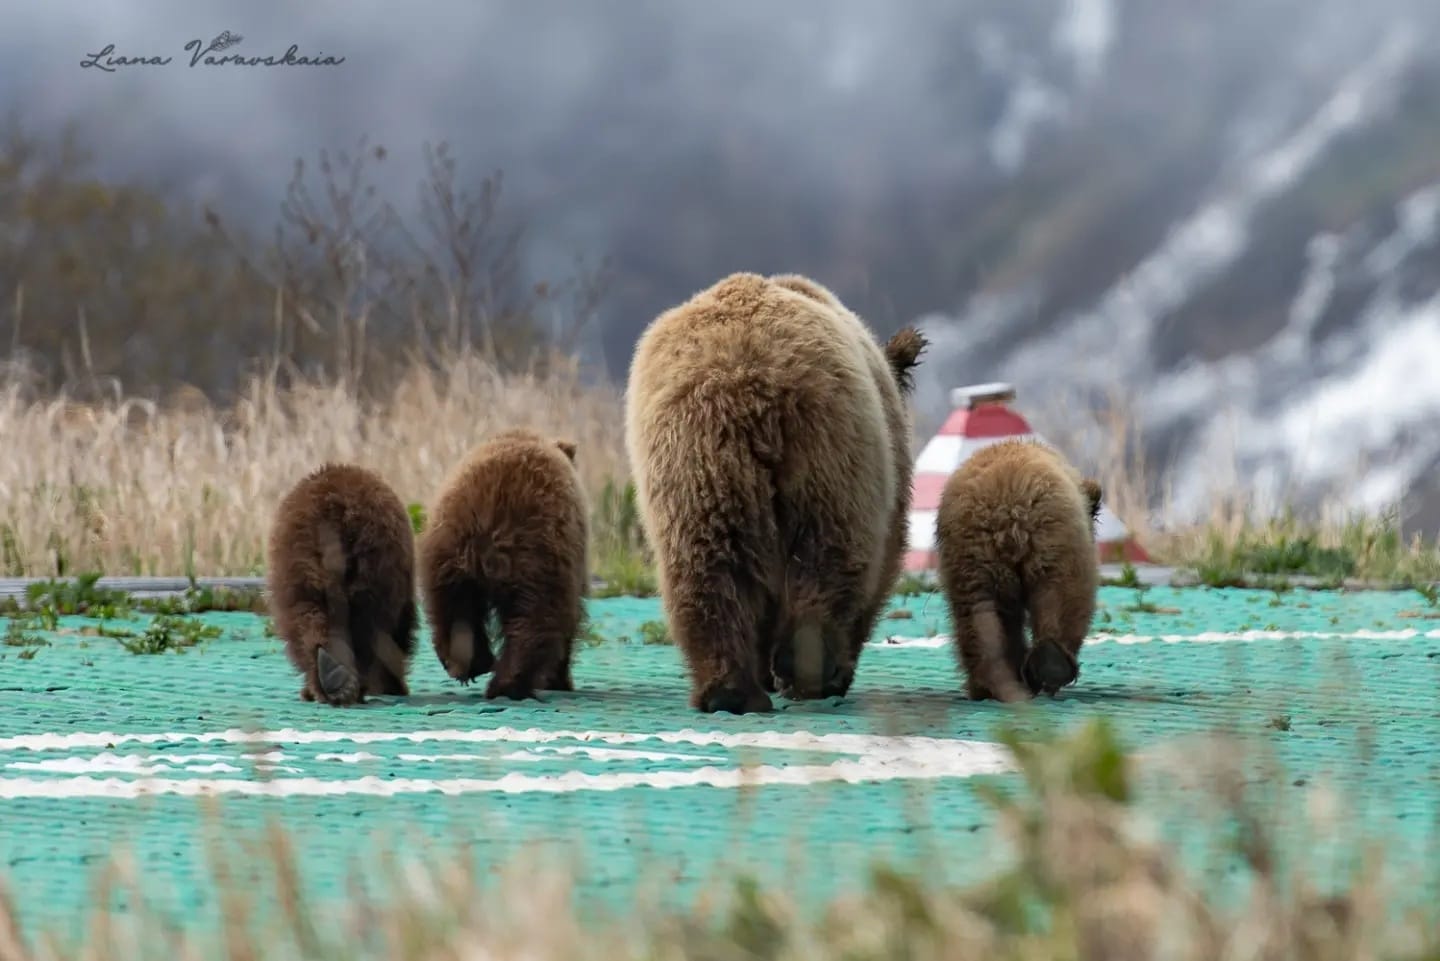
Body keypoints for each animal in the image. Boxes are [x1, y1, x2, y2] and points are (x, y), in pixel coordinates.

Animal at [266, 466, 420, 705]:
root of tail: (333, 511)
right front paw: (393, 685)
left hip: (298, 562)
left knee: (305, 618)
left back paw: (329, 677)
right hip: (372, 563)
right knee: (367, 624)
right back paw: (350, 685)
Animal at [417, 429, 590, 700]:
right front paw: (558, 679)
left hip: (446, 550)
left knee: (451, 607)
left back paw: (467, 663)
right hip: (538, 552)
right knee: (537, 616)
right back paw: (509, 684)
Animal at [624, 270, 927, 714]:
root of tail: (748, 376)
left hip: (693, 454)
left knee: (706, 560)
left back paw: (730, 689)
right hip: (826, 447)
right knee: (825, 553)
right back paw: (809, 670)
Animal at [933, 440, 1100, 703]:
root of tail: (1011, 511)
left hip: (975, 560)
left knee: (982, 617)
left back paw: (997, 681)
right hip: (1054, 544)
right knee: (1063, 600)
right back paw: (1048, 667)